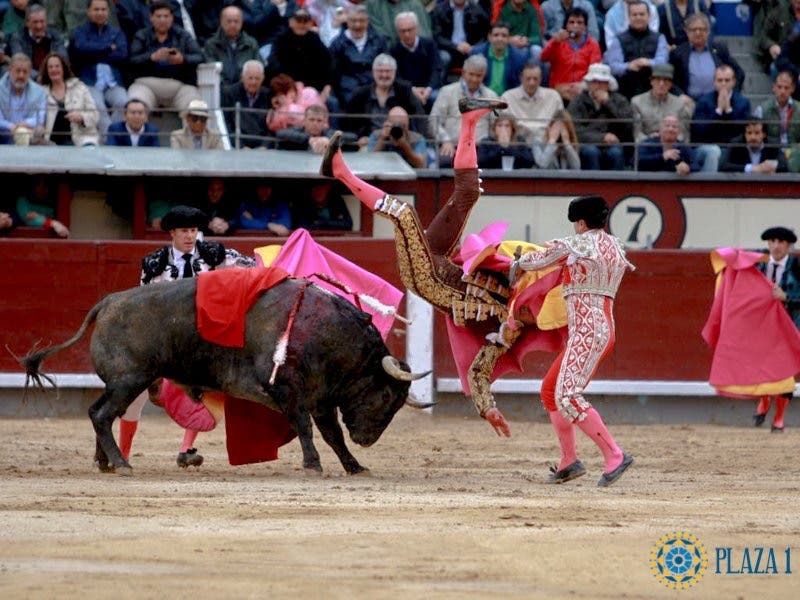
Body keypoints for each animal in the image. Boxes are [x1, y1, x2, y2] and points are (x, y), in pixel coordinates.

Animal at [20, 278, 432, 478]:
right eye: (386, 396)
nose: (368, 440)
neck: (327, 333)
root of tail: (107, 302)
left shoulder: (321, 398)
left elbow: (332, 434)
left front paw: (353, 465)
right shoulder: (287, 390)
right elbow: (305, 427)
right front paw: (313, 465)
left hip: (122, 383)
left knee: (98, 413)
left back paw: (106, 462)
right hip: (129, 379)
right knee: (103, 415)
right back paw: (121, 464)